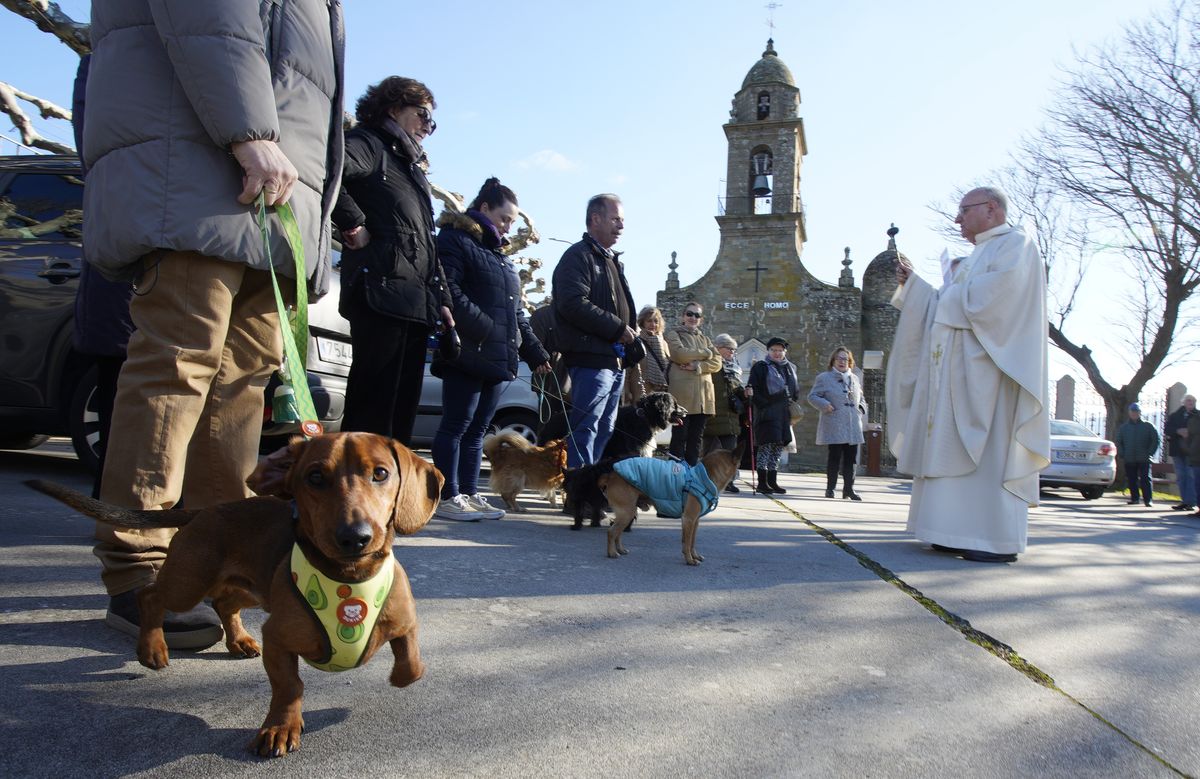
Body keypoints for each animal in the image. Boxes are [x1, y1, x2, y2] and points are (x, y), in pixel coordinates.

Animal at [27, 427, 441, 758]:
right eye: (315, 477)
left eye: (381, 473)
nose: (355, 537)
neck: (350, 578)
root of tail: (203, 511)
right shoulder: (278, 638)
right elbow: (289, 686)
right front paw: (280, 728)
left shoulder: (405, 624)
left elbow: (412, 667)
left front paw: (398, 673)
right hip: (189, 582)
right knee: (152, 597)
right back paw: (153, 648)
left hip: (253, 588)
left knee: (225, 603)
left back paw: (238, 640)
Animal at [597, 444, 739, 564]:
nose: (738, 472)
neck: (703, 477)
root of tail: (610, 476)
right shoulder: (688, 519)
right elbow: (687, 542)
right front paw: (689, 560)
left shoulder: (695, 521)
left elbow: (691, 541)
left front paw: (694, 555)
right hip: (627, 513)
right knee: (611, 532)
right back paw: (612, 553)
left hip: (628, 513)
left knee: (618, 533)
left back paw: (620, 549)